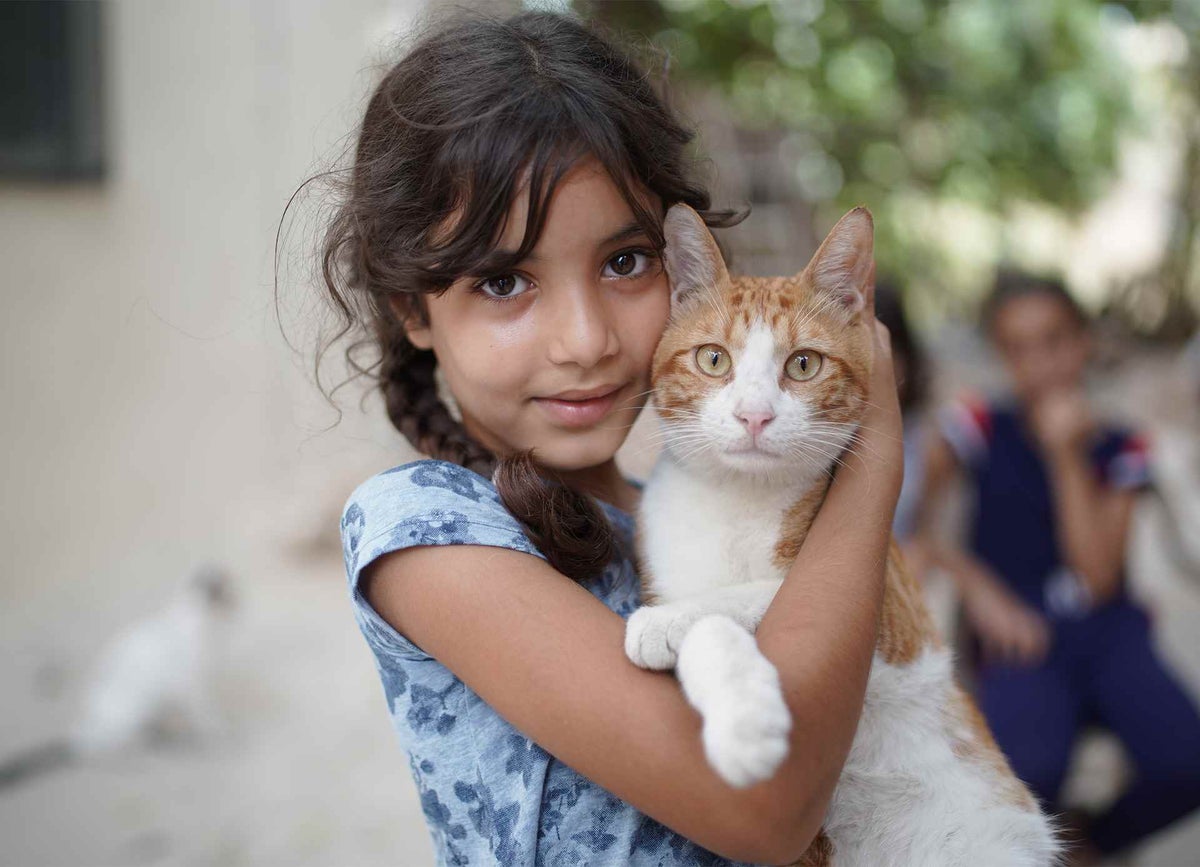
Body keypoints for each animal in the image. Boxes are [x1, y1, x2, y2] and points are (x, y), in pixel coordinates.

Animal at [624, 204, 1056, 864]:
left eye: (803, 364)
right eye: (713, 359)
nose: (754, 416)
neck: (738, 503)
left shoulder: (884, 616)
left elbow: (733, 606)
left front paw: (739, 717)